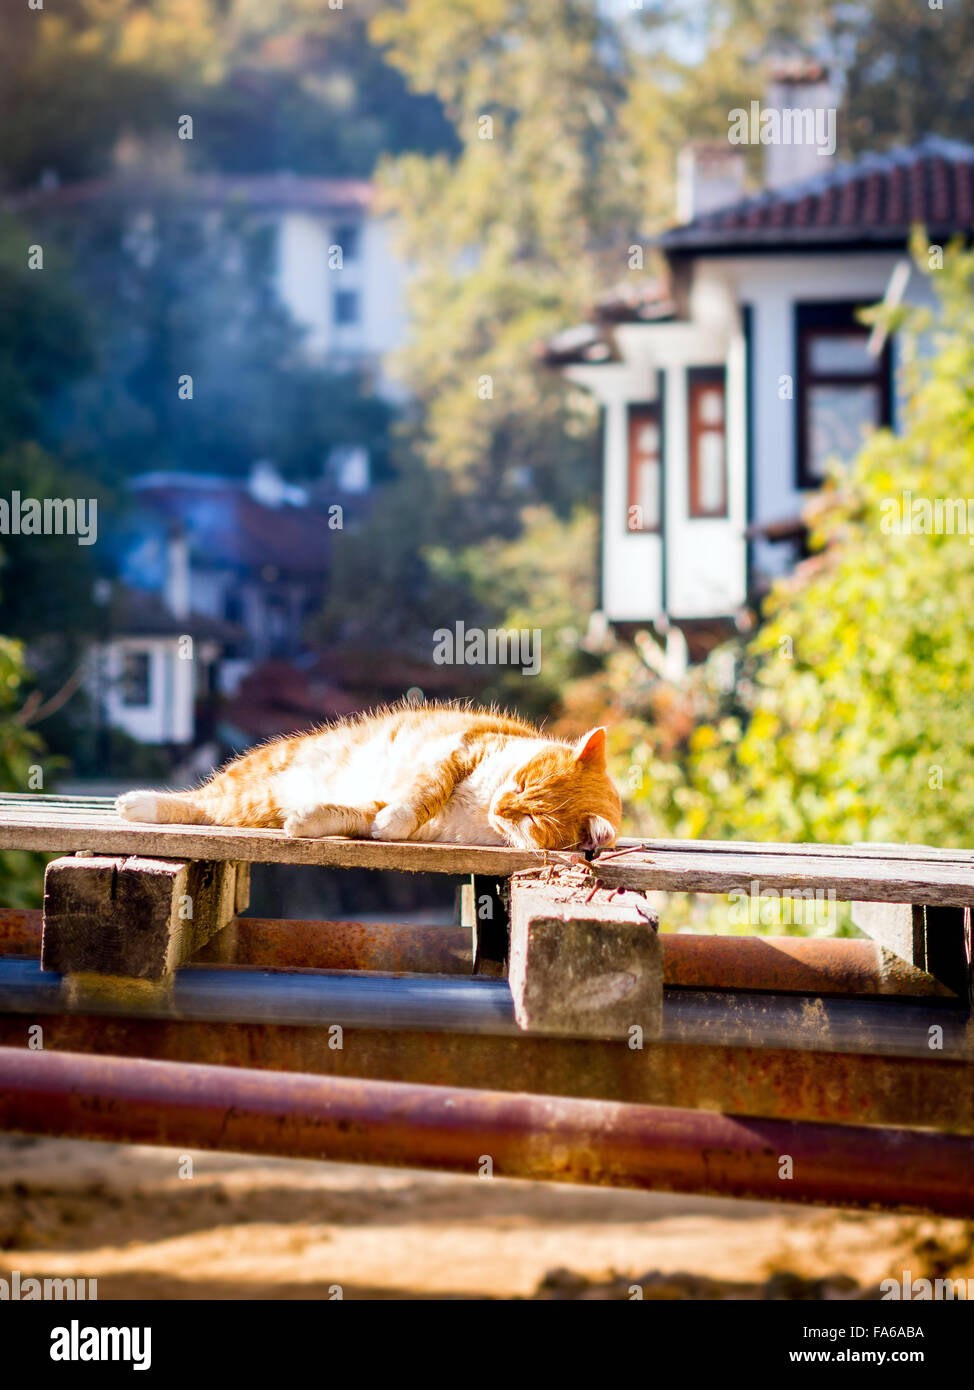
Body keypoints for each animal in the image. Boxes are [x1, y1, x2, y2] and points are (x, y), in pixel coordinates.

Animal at [113, 706, 619, 845]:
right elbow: (423, 796)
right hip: (258, 776)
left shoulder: (392, 807)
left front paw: (309, 821)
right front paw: (395, 820)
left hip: (255, 804)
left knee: (212, 810)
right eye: (522, 781)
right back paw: (136, 802)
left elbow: (359, 816)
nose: (502, 805)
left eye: (531, 819)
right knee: (199, 799)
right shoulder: (454, 752)